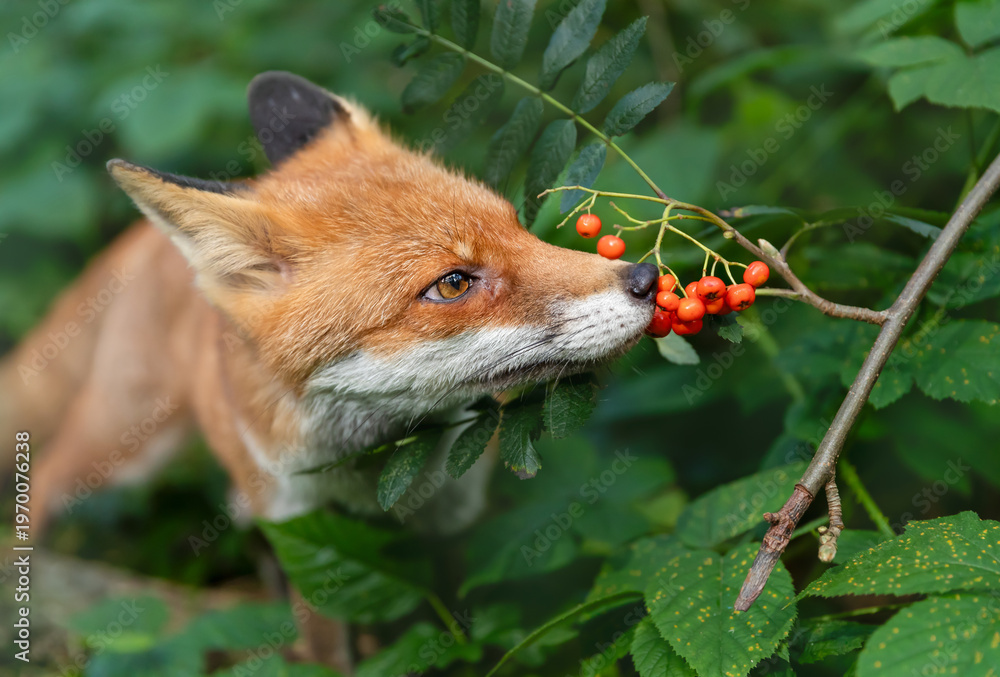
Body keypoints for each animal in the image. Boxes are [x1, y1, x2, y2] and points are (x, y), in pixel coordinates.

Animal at [0, 71, 657, 664]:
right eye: (452, 284)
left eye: (518, 227)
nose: (648, 279)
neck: (367, 470)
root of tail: (140, 246)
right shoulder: (303, 526)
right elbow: (329, 650)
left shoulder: (451, 517)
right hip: (123, 447)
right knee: (47, 479)